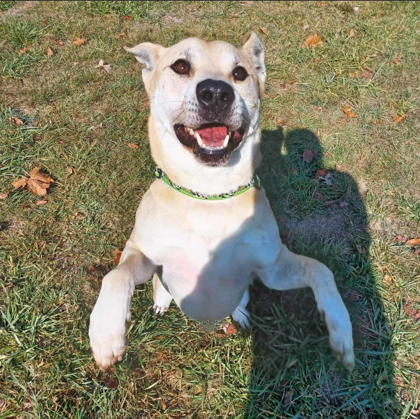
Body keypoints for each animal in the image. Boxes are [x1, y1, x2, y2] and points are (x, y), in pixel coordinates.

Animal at [88, 34, 354, 372]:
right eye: (181, 66)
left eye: (239, 73)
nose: (215, 93)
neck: (208, 195)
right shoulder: (144, 254)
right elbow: (116, 274)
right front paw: (106, 332)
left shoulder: (272, 268)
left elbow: (320, 269)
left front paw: (341, 331)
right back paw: (160, 303)